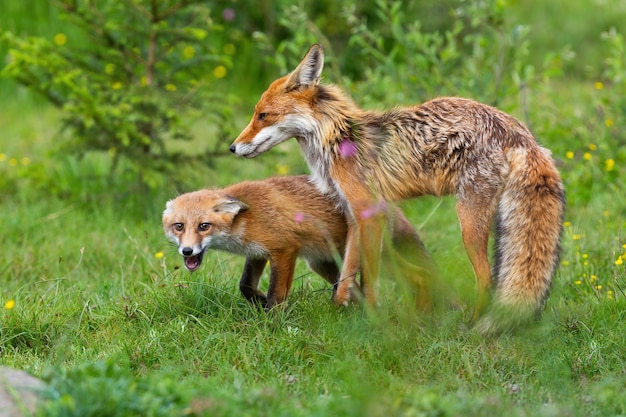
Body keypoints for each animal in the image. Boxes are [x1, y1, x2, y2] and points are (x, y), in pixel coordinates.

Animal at [162, 174, 434, 308]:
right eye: (179, 226)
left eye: (203, 226)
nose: (187, 251)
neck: (245, 220)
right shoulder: (257, 252)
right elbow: (245, 286)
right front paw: (258, 301)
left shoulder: (284, 249)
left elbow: (276, 295)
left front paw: (271, 319)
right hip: (325, 265)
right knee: (350, 289)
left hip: (377, 261)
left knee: (421, 276)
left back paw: (420, 314)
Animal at [230, 41, 564, 328]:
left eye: (263, 115)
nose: (233, 148)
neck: (336, 140)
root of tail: (521, 133)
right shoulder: (354, 214)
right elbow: (347, 273)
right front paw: (342, 309)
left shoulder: (371, 213)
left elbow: (369, 278)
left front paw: (372, 322)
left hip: (469, 222)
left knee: (486, 279)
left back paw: (472, 325)